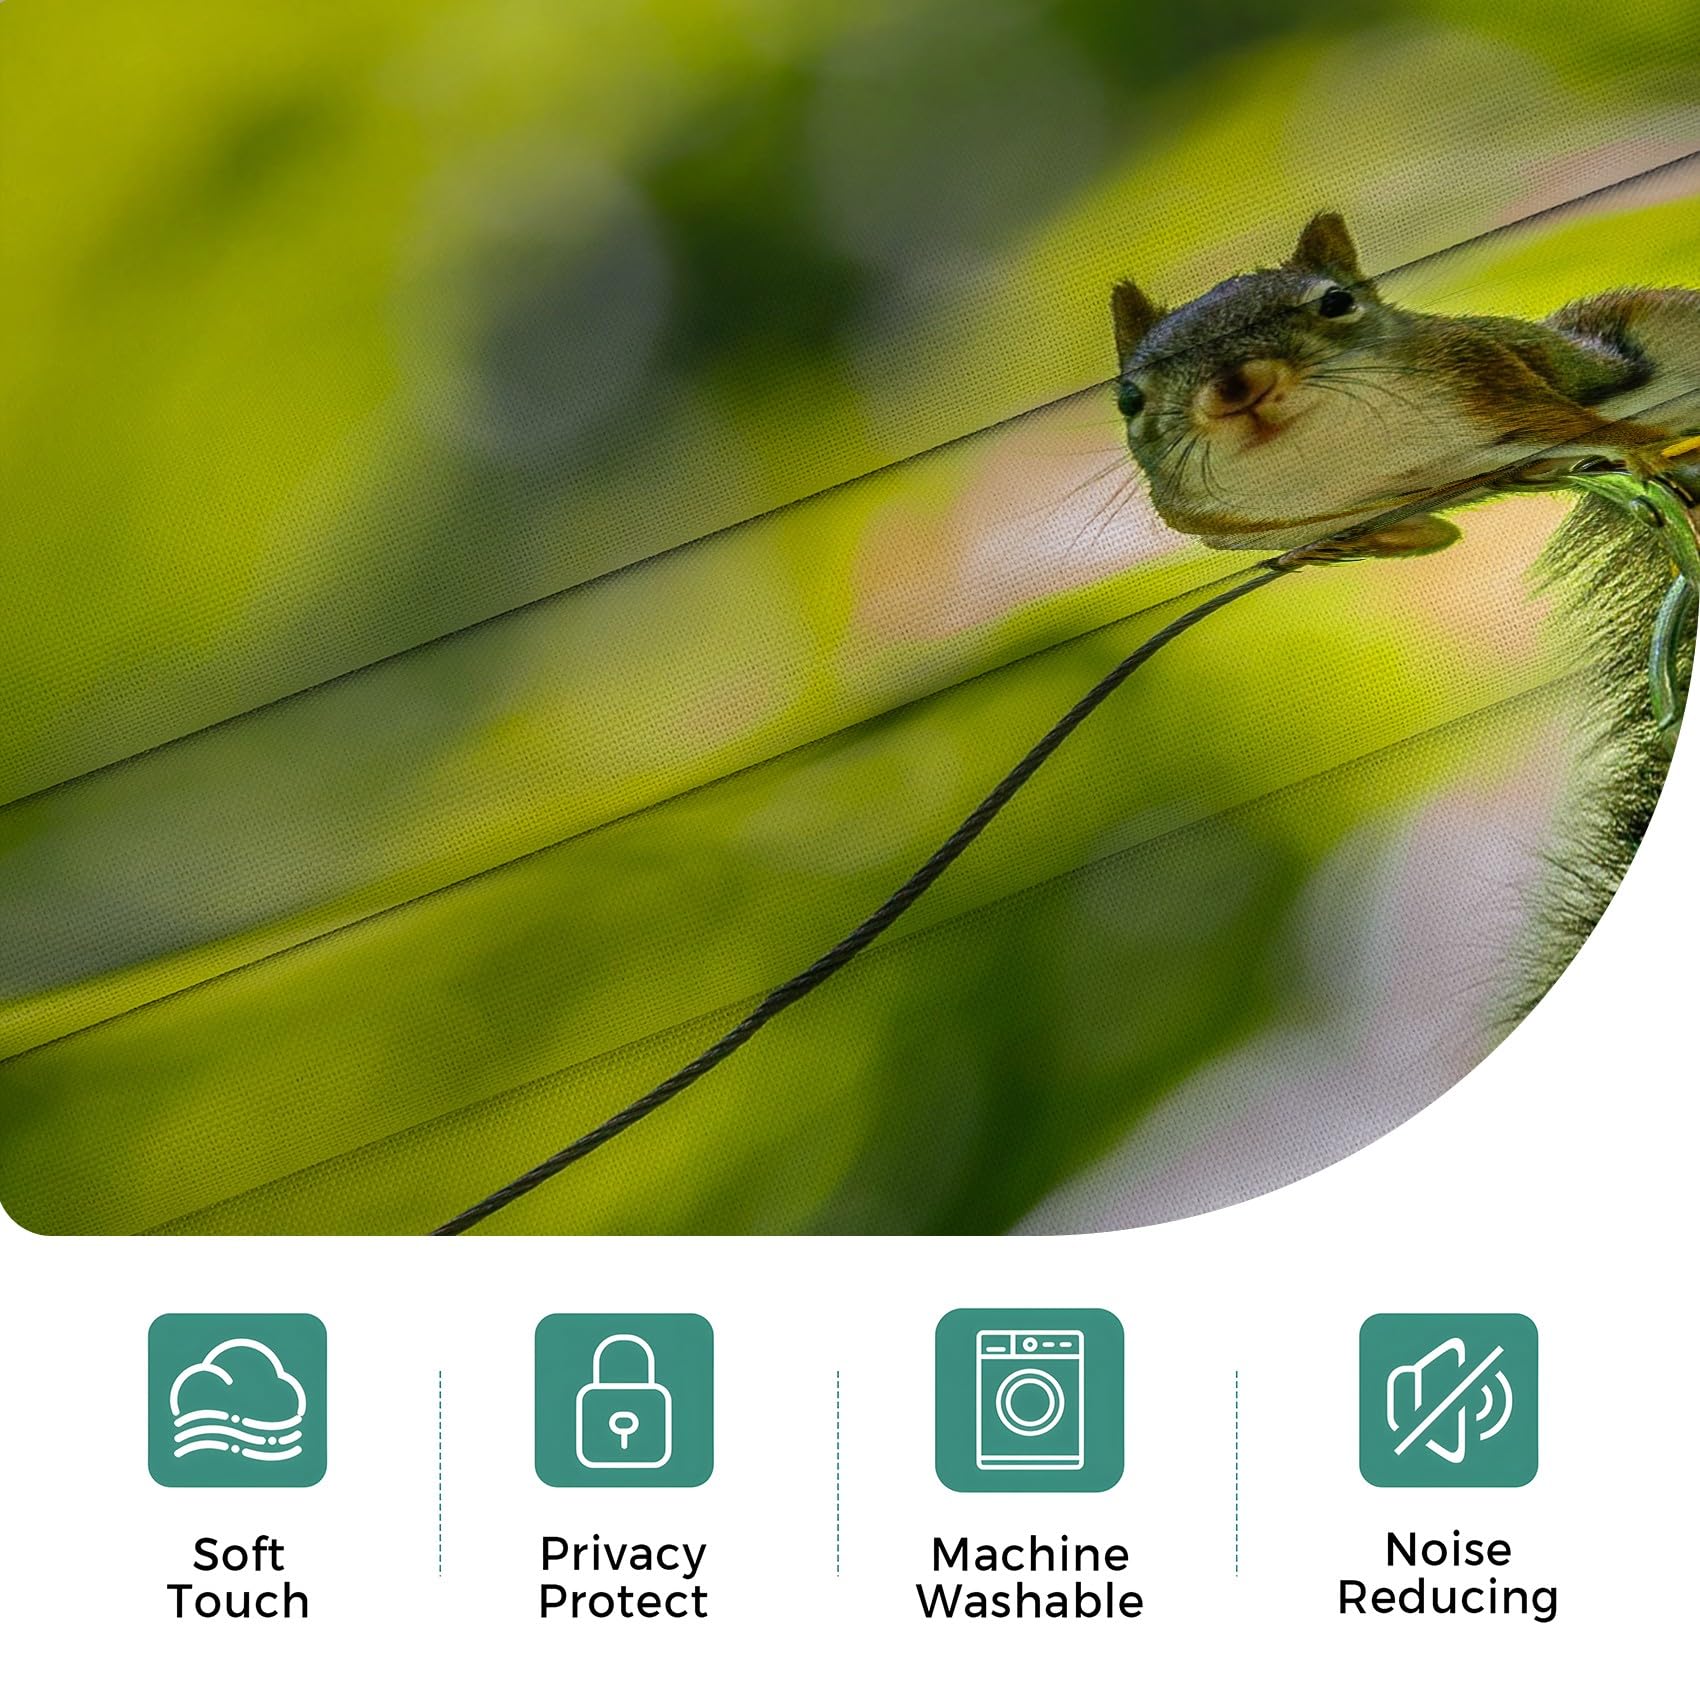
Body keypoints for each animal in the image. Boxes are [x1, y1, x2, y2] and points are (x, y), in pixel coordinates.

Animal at [1109, 212, 1699, 1010]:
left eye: (1335, 303)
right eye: (1129, 398)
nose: (1236, 388)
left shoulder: (1487, 375)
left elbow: (1578, 421)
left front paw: (1637, 447)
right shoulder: (1220, 522)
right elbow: (1417, 535)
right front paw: (1337, 550)